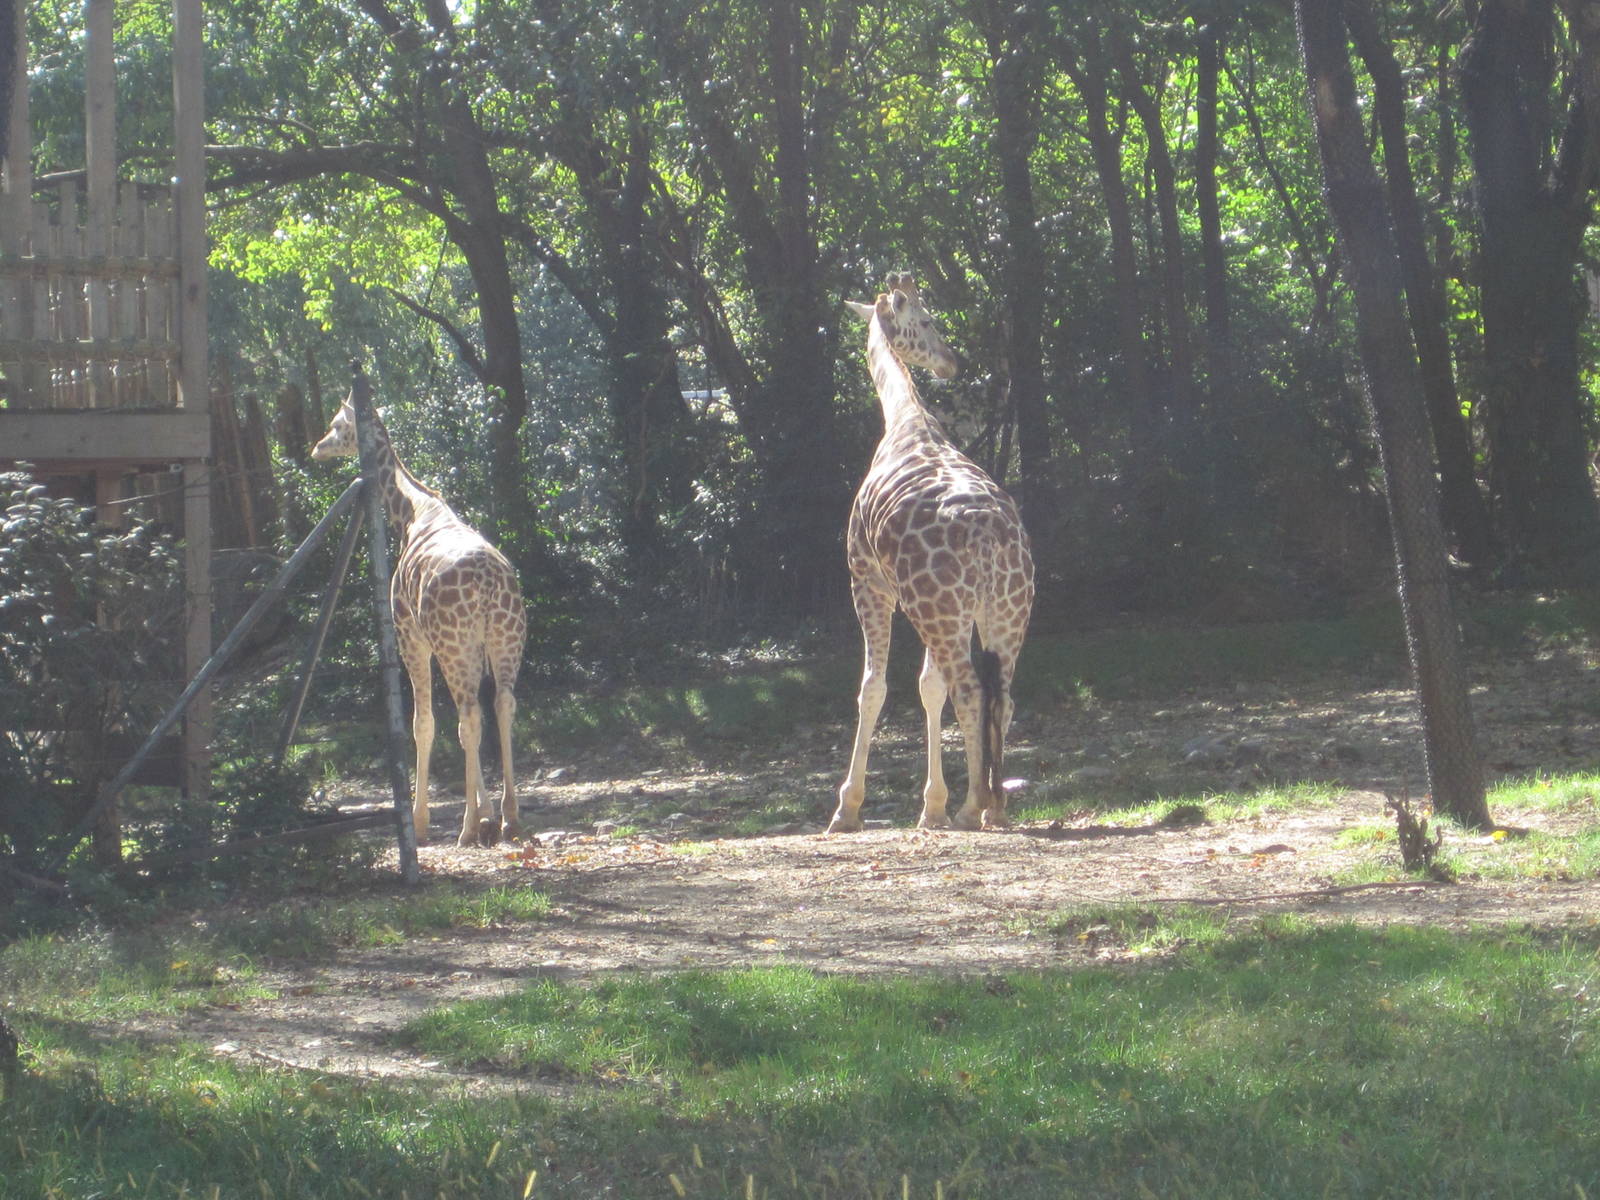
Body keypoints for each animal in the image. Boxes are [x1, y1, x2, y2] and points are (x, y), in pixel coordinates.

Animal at [313, 392, 527, 847]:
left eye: (338, 424)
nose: (318, 447)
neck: (412, 514)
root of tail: (489, 583)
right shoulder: (470, 647)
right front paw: (488, 813)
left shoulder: (409, 634)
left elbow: (423, 723)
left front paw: (423, 820)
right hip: (503, 639)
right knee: (500, 705)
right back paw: (510, 818)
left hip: (452, 644)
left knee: (468, 716)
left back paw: (467, 827)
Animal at [828, 273, 1035, 833]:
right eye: (926, 320)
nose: (951, 362)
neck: (907, 418)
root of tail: (987, 536)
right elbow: (927, 687)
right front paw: (932, 803)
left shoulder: (868, 580)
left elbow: (873, 688)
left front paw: (848, 807)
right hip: (1005, 610)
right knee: (1002, 695)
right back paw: (993, 805)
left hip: (938, 610)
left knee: (970, 690)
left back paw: (973, 806)